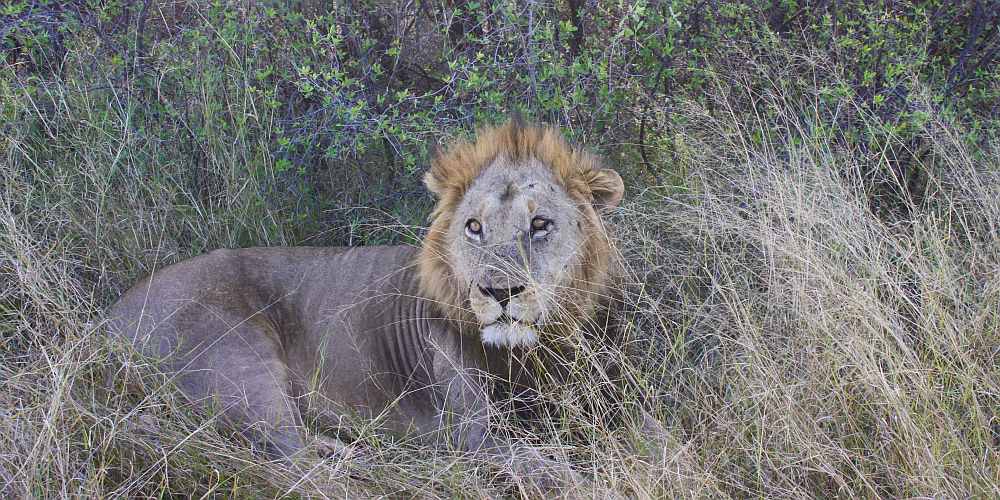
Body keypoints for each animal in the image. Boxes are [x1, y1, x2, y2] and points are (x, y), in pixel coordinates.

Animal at [107, 119, 632, 478]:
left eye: (540, 224)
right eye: (474, 227)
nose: (498, 292)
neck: (528, 351)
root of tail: (108, 318)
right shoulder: (469, 436)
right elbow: (550, 466)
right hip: (239, 363)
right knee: (295, 464)